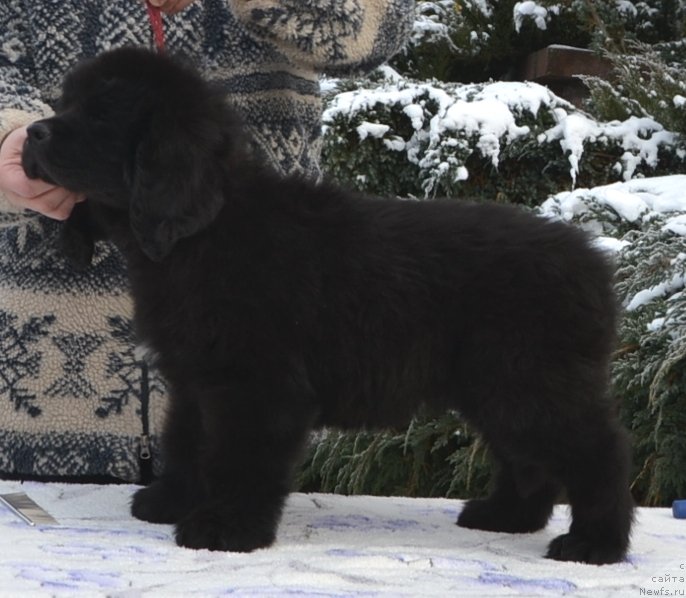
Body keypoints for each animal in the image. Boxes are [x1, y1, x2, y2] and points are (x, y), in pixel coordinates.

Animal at [20, 48, 636, 568]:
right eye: (64, 103)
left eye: (103, 115)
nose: (30, 132)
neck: (205, 232)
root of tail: (594, 263)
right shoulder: (196, 376)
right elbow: (187, 440)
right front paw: (172, 500)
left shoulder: (259, 384)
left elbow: (240, 458)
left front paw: (225, 528)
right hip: (500, 387)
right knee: (526, 457)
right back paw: (507, 517)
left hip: (530, 380)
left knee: (599, 452)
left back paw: (595, 543)